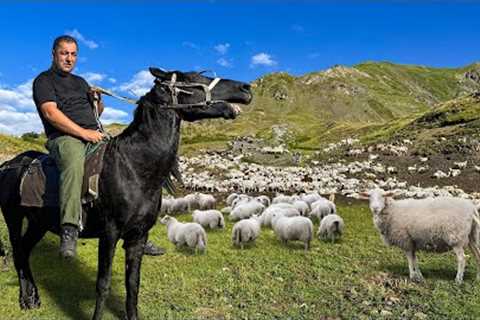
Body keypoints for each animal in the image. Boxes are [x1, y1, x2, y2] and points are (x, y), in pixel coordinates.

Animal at [0, 66, 253, 318]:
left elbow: (133, 284)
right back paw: (26, 298)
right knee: (18, 252)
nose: (246, 88)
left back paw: (33, 296)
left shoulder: (138, 237)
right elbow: (103, 284)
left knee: (25, 250)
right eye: (193, 78)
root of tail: (10, 164)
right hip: (13, 218)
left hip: (38, 223)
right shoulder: (109, 234)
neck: (133, 167)